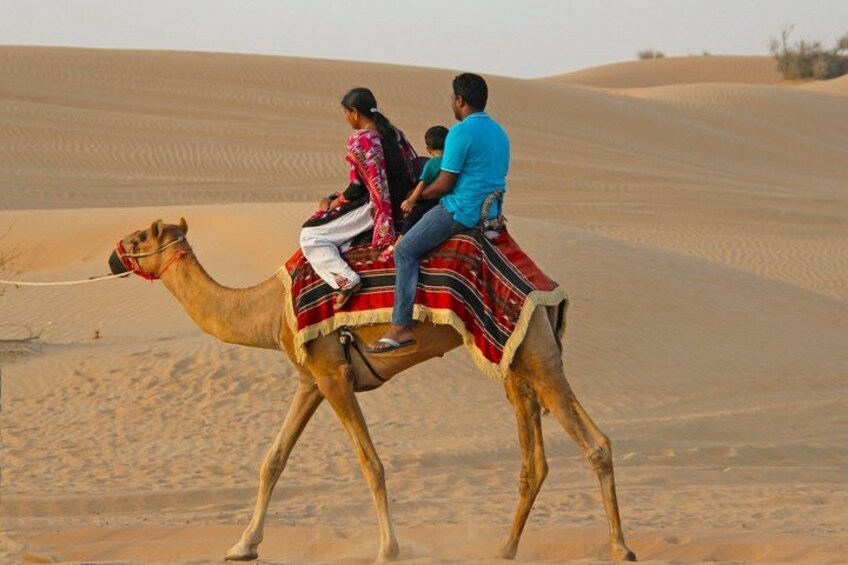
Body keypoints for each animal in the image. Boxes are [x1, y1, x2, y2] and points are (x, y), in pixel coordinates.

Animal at [110, 218, 637, 563]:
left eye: (141, 237)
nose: (114, 256)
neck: (268, 308)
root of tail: (543, 283)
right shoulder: (310, 380)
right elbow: (273, 460)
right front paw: (243, 544)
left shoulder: (334, 375)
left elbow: (370, 463)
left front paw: (389, 548)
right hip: (515, 359)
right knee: (539, 459)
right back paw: (506, 548)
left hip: (532, 351)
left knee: (593, 443)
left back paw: (620, 547)